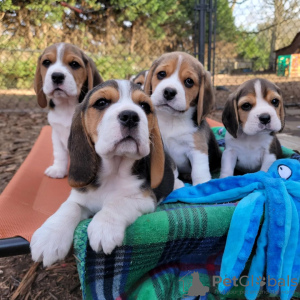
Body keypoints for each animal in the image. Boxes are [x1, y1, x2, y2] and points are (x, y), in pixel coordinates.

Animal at [31, 80, 180, 268]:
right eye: (101, 102)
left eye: (144, 106)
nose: (130, 116)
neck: (113, 171)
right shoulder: (80, 197)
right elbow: (69, 207)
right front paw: (50, 236)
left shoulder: (145, 199)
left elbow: (118, 203)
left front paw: (104, 227)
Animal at [34, 42, 103, 178]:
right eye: (46, 62)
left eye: (74, 64)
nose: (57, 76)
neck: (66, 106)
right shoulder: (56, 133)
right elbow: (59, 154)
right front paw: (58, 169)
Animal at [144, 52, 221, 185]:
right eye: (161, 74)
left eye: (189, 81)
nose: (169, 92)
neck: (171, 119)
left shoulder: (197, 149)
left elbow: (199, 172)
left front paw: (201, 185)